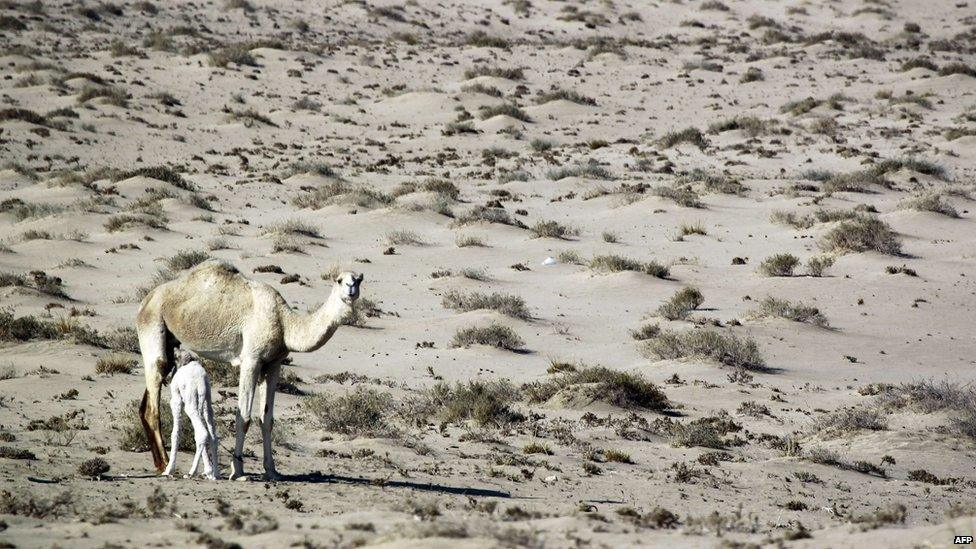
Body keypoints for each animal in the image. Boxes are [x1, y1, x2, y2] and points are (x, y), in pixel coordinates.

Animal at [163, 352, 218, 480]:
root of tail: (201, 384)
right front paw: (209, 471)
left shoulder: (176, 400)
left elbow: (175, 434)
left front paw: (168, 470)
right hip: (206, 403)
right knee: (212, 435)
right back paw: (215, 474)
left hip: (190, 403)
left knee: (202, 433)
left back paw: (191, 472)